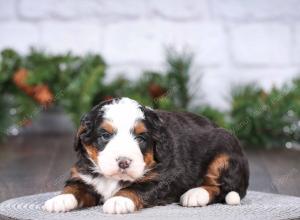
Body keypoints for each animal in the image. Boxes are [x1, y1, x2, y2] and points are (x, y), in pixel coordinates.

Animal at [43, 97, 250, 213]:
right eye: (105, 135)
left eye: (141, 138)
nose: (124, 162)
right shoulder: (82, 175)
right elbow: (74, 188)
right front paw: (58, 200)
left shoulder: (164, 178)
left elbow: (138, 188)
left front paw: (119, 200)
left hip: (224, 152)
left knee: (221, 187)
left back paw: (195, 194)